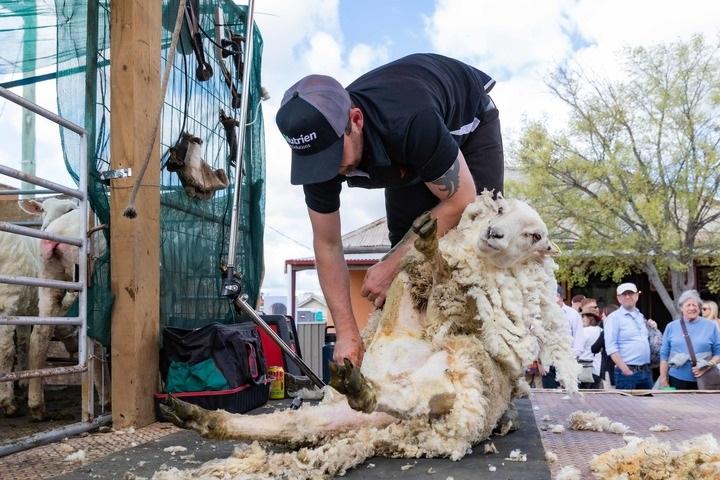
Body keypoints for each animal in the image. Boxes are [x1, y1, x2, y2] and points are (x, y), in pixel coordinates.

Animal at [0, 197, 77, 414]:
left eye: (70, 209)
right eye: (42, 210)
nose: (46, 228)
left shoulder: (25, 311)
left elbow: (24, 343)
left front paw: (23, 379)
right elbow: (24, 344)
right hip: (6, 298)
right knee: (5, 349)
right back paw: (7, 402)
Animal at [158, 192, 580, 480]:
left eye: (534, 236)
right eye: (500, 211)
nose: (493, 234)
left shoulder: (458, 314)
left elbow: (442, 276)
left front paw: (432, 248)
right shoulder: (411, 294)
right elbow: (427, 270)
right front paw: (426, 241)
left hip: (455, 375)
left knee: (413, 399)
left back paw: (362, 387)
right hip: (340, 417)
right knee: (295, 427)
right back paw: (195, 415)